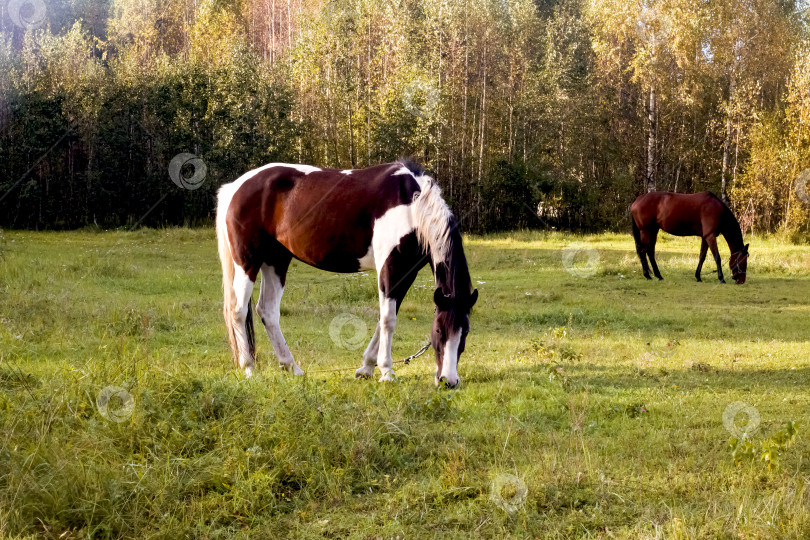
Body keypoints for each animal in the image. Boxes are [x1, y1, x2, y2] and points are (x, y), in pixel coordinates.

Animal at [218, 160, 476, 388]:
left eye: (465, 332)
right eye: (439, 330)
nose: (448, 381)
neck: (412, 206)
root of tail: (235, 187)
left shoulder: (406, 273)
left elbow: (384, 318)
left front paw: (367, 368)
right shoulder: (390, 267)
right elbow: (388, 320)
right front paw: (387, 372)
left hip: (276, 261)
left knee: (268, 311)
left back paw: (292, 368)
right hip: (248, 262)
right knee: (238, 311)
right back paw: (249, 369)